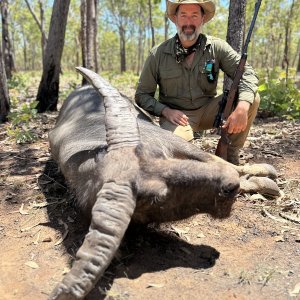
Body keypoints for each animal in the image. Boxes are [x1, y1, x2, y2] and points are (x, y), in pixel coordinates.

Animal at [48, 68, 280, 300]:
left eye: (157, 155)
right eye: (157, 198)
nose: (230, 185)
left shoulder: (175, 144)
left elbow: (218, 160)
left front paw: (262, 175)